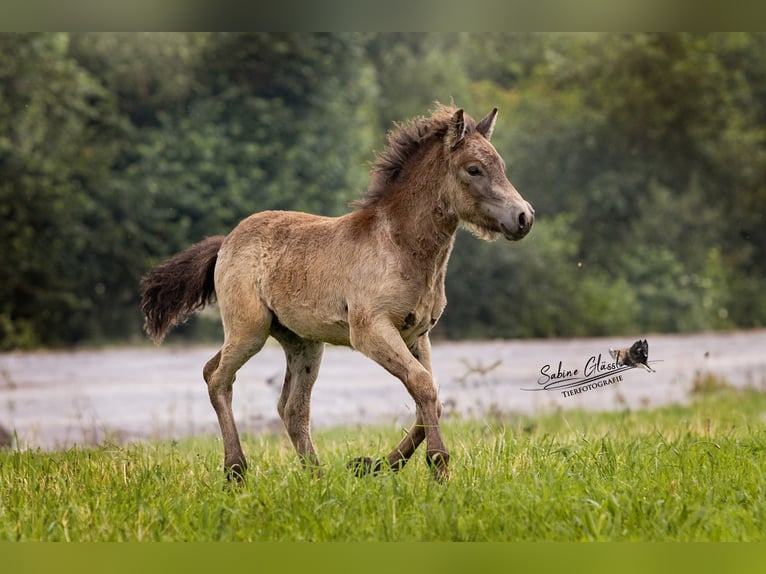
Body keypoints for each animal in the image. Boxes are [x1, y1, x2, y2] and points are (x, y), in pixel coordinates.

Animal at [140, 106, 536, 484]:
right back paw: (236, 470)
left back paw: (316, 477)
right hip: (249, 330)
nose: (524, 217)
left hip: (302, 343)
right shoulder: (371, 330)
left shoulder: (416, 335)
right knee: (217, 378)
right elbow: (424, 386)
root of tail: (225, 242)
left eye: (501, 166)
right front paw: (438, 468)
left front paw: (370, 465)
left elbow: (430, 397)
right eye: (473, 169)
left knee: (291, 408)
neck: (399, 246)